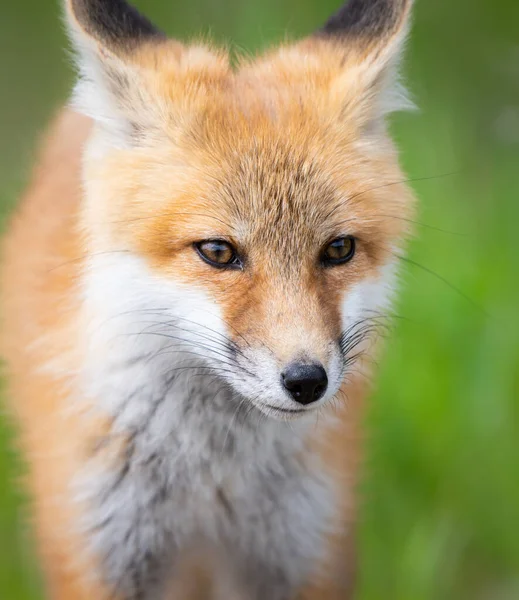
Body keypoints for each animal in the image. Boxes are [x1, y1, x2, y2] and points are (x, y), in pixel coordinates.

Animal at [0, 1, 416, 600]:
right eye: (218, 252)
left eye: (338, 249)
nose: (307, 381)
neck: (212, 477)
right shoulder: (98, 552)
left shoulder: (303, 552)